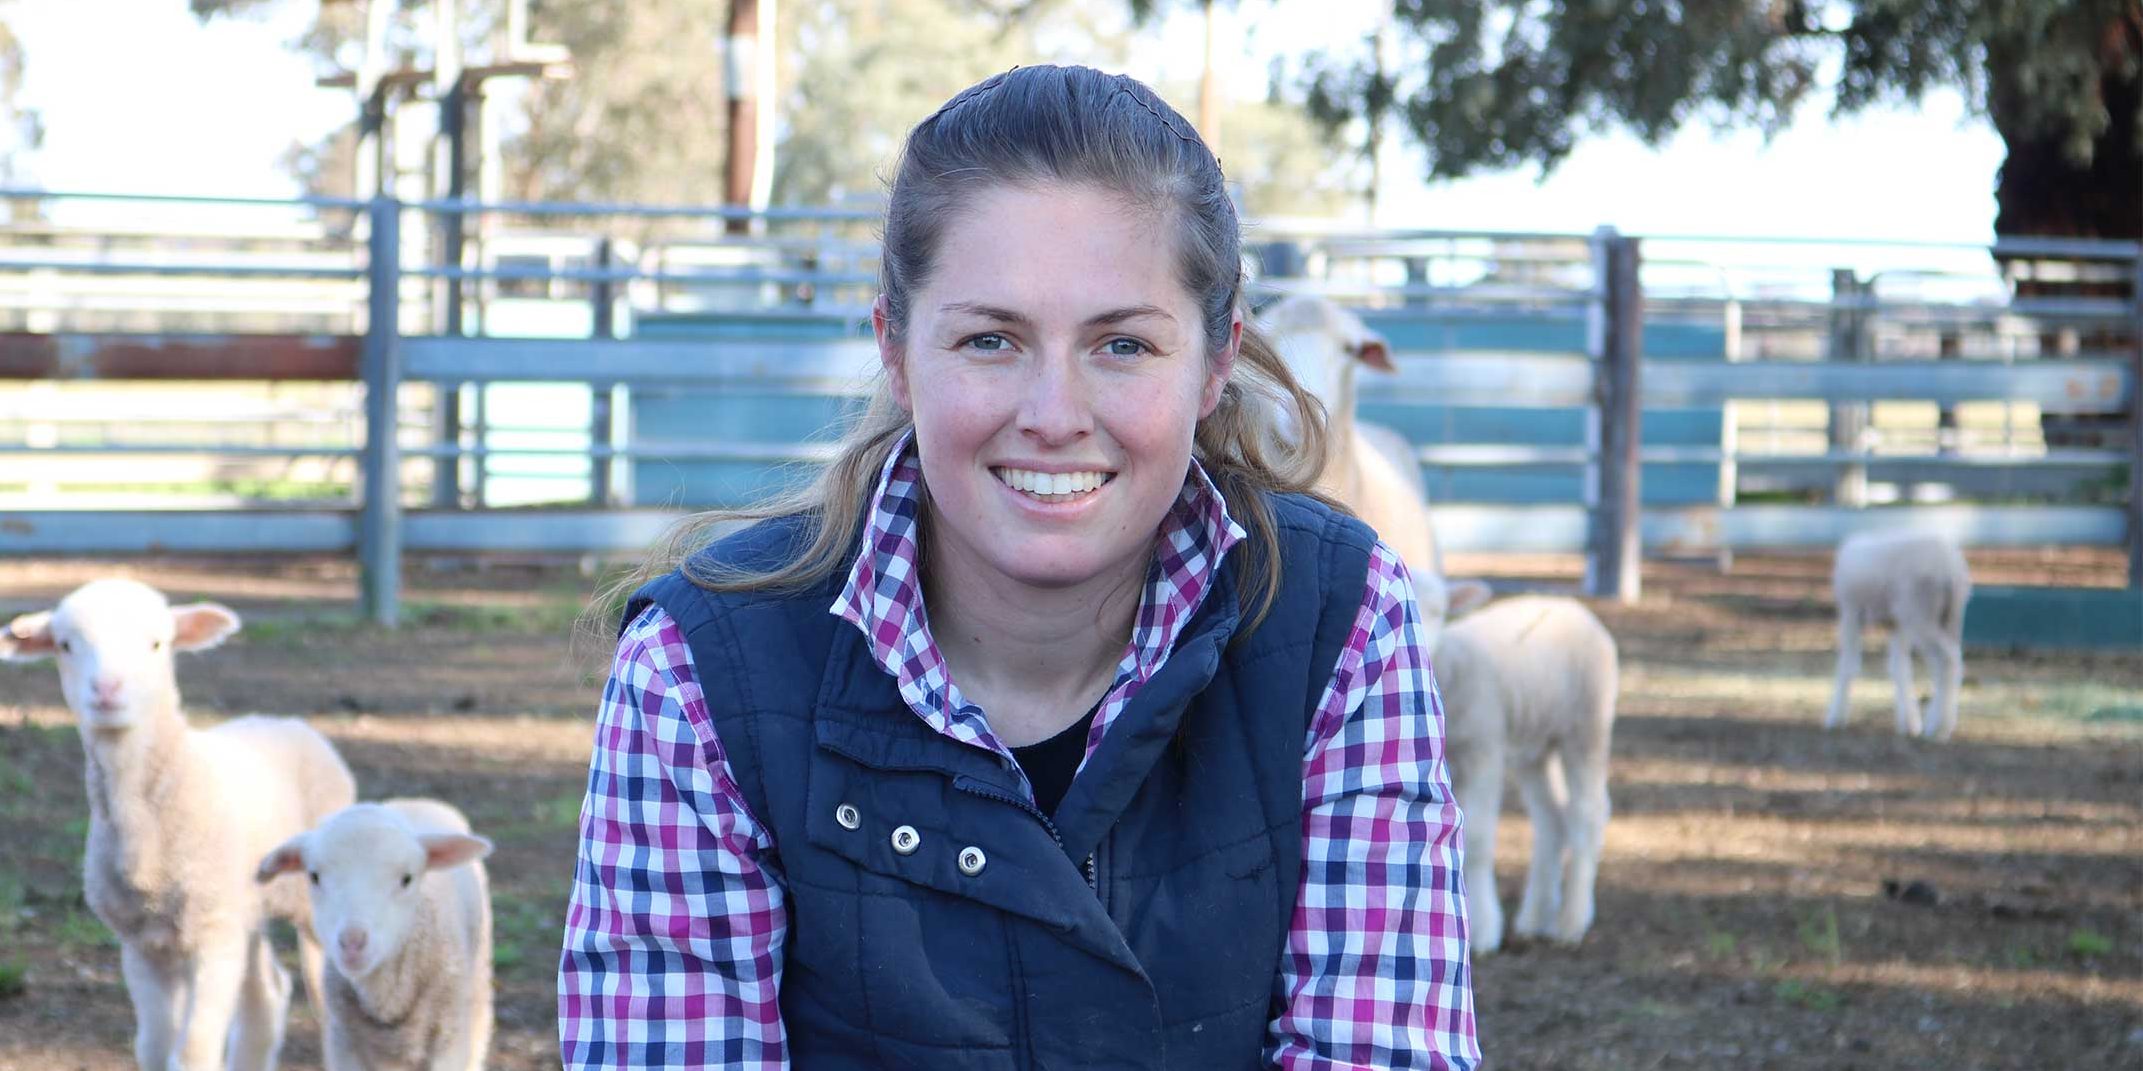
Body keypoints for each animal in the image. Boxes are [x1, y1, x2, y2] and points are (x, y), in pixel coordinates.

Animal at [0, 582, 355, 1071]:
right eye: (65, 645)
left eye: (156, 644)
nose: (107, 690)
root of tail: (290, 723)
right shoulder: (143, 941)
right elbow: (152, 1045)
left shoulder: (213, 933)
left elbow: (193, 1049)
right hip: (245, 908)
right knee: (268, 991)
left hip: (310, 910)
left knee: (329, 1002)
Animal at [257, 801, 495, 1066]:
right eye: (314, 876)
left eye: (407, 879)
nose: (352, 943)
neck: (385, 996)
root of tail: (418, 800)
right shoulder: (344, 1045)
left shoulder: (449, 1043)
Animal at [1431, 586, 1611, 955]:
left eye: (1438, 610)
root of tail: (1570, 606)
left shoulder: (1484, 750)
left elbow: (1478, 839)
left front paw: (1483, 932)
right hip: (1538, 748)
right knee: (1553, 819)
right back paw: (1537, 918)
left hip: (1586, 726)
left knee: (1587, 814)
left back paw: (1572, 921)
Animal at [1825, 524, 1971, 736]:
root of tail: (1948, 567)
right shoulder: (1897, 625)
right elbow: (1899, 668)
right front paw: (1909, 723)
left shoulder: (1851, 612)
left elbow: (1848, 665)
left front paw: (1835, 717)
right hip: (1950, 616)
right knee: (1949, 664)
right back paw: (1941, 722)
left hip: (1921, 613)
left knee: (1947, 661)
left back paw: (1937, 728)